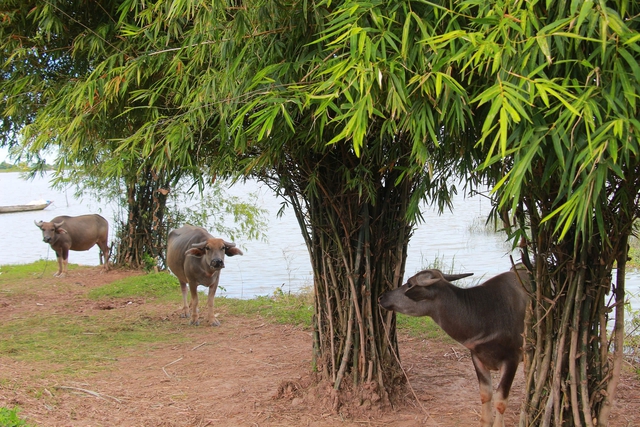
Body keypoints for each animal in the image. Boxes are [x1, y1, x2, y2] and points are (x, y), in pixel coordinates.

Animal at [380, 268, 528, 427]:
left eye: (409, 283)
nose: (382, 297)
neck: (485, 315)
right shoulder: (477, 357)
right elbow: (485, 394)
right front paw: (484, 421)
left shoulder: (512, 359)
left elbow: (500, 401)